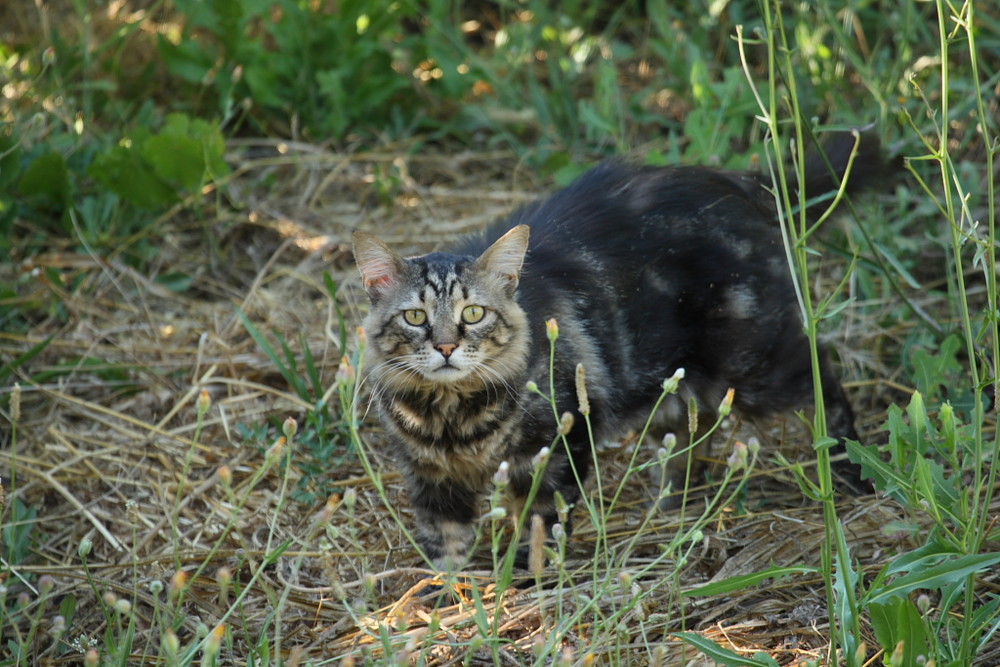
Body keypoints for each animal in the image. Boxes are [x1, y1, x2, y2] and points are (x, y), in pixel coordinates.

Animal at [354, 133, 884, 572]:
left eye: (473, 314)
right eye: (415, 317)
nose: (446, 346)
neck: (453, 419)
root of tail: (731, 178)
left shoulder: (556, 445)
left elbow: (541, 524)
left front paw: (526, 580)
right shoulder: (430, 478)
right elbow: (444, 548)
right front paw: (444, 603)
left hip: (755, 365)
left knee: (824, 383)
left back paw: (851, 473)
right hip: (673, 377)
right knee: (694, 432)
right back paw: (672, 504)